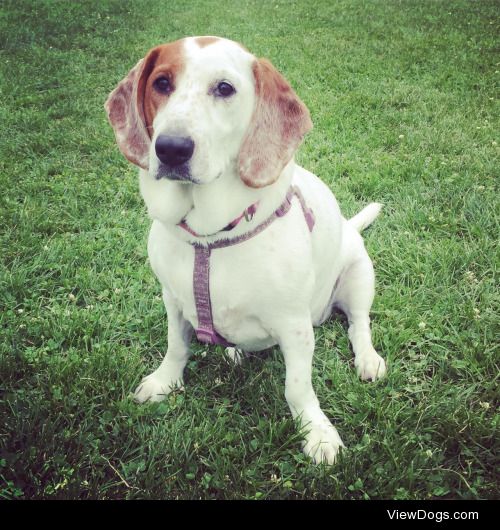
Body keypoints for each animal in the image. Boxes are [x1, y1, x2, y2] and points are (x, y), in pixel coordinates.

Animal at [104, 35, 386, 462]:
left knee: (359, 324)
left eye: (224, 88)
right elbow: (176, 347)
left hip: (358, 277)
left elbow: (297, 388)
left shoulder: (295, 327)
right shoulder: (173, 300)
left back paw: (367, 357)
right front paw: (164, 381)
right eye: (161, 83)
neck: (211, 237)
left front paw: (317, 432)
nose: (171, 148)